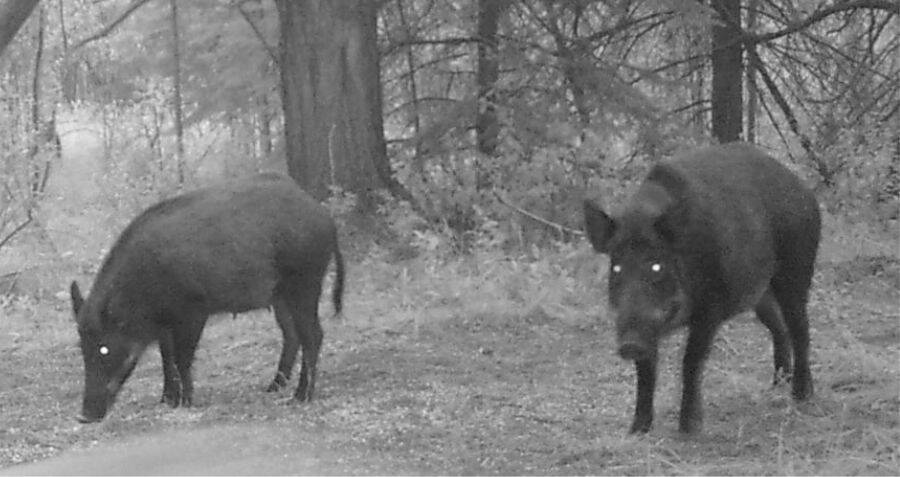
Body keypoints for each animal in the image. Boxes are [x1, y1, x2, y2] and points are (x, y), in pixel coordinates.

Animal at [70, 172, 345, 423]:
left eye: (104, 348)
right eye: (81, 347)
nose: (84, 417)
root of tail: (325, 216)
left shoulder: (193, 312)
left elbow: (182, 358)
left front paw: (185, 403)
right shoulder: (165, 324)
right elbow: (166, 358)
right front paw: (167, 401)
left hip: (305, 282)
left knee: (313, 335)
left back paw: (300, 397)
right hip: (280, 295)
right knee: (291, 335)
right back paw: (272, 388)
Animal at [583, 143, 820, 434]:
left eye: (656, 266)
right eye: (616, 268)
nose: (629, 344)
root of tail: (802, 187)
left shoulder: (711, 308)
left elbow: (691, 360)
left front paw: (689, 428)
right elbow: (646, 371)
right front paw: (637, 430)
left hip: (796, 270)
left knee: (800, 329)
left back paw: (801, 395)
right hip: (759, 294)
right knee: (779, 328)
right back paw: (777, 385)